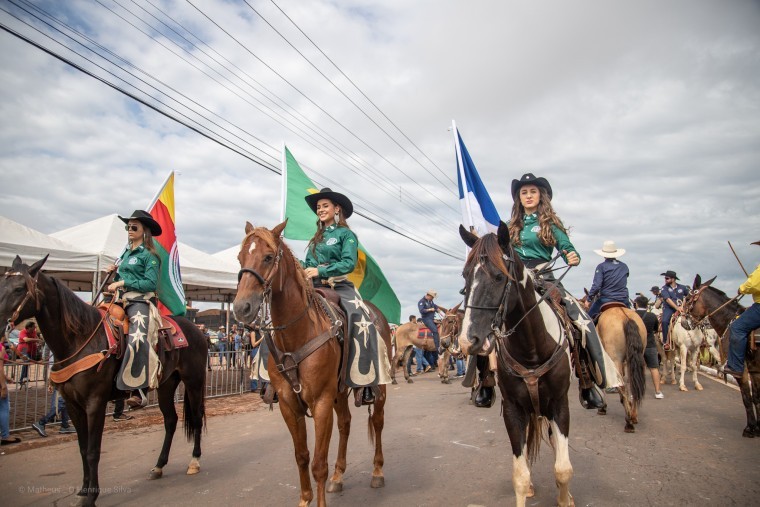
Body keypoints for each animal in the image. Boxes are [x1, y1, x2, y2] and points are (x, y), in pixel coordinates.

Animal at [0, 256, 208, 506]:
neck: (79, 338)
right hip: (166, 385)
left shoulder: (95, 403)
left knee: (196, 418)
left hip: (194, 381)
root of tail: (196, 330)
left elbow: (93, 450)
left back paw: (194, 462)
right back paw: (158, 466)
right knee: (170, 421)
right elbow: (82, 448)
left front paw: (91, 496)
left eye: (20, 288)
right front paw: (83, 490)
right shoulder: (73, 404)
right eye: (1, 283)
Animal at [233, 223, 394, 507]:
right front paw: (305, 499)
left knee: (377, 422)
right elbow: (302, 456)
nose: (242, 308)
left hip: (379, 389)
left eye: (268, 257)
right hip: (340, 392)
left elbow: (319, 463)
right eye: (240, 257)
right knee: (345, 423)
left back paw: (377, 471)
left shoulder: (320, 402)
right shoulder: (289, 404)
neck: (297, 334)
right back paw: (339, 476)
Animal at [454, 226, 572, 507]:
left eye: (499, 277)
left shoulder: (560, 404)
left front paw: (565, 499)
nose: (467, 341)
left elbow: (563, 469)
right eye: (465, 275)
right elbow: (519, 475)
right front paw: (526, 486)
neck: (532, 350)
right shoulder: (513, 409)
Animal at [684, 276, 760, 438]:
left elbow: (746, 397)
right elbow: (756, 396)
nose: (684, 323)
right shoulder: (754, 369)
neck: (728, 320)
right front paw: (758, 427)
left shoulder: (741, 369)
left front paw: (750, 428)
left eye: (687, 299)